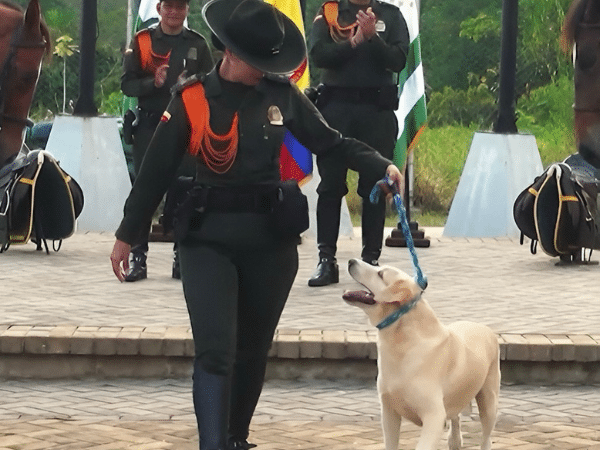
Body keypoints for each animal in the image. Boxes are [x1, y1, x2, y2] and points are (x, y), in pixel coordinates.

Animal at [344, 256, 500, 450]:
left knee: (486, 436)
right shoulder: (388, 411)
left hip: (489, 399)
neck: (402, 344)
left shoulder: (434, 416)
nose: (351, 261)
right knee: (455, 417)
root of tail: (485, 328)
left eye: (380, 274)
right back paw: (455, 440)